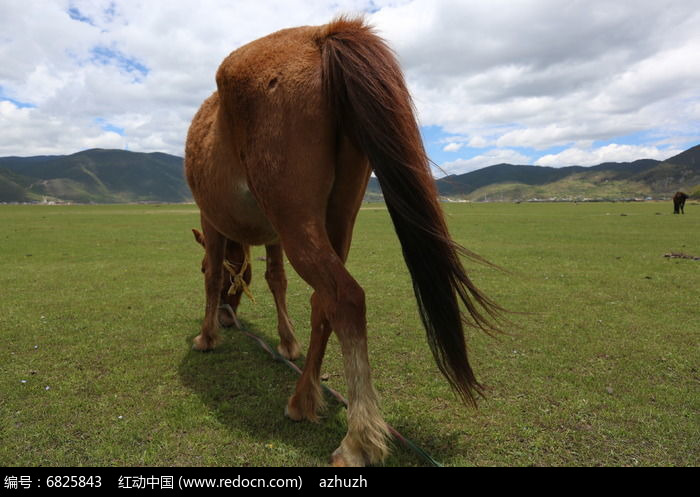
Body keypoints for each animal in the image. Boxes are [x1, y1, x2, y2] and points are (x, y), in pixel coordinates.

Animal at [186, 15, 500, 464]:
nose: (230, 320)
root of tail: (320, 36)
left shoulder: (211, 221)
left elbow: (214, 276)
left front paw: (207, 336)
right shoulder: (273, 236)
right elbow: (276, 280)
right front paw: (286, 343)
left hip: (296, 220)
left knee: (346, 297)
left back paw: (357, 437)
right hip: (334, 216)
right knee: (325, 301)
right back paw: (303, 398)